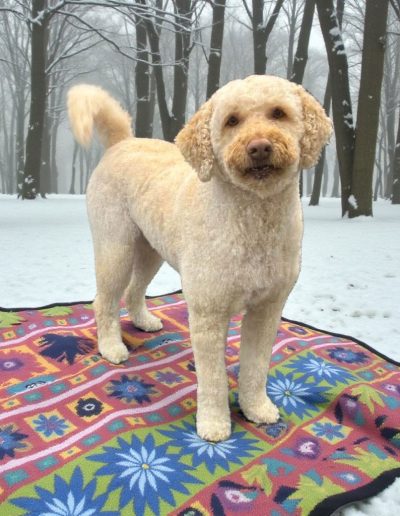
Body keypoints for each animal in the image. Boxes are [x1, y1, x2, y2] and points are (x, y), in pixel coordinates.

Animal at [67, 75, 331, 442]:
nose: (259, 147)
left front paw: (256, 408)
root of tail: (122, 142)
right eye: (232, 120)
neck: (253, 220)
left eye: (279, 113)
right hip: (115, 245)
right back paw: (111, 347)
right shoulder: (209, 313)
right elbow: (214, 378)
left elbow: (255, 367)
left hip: (151, 248)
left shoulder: (267, 309)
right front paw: (214, 425)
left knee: (135, 290)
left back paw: (143, 321)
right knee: (104, 300)